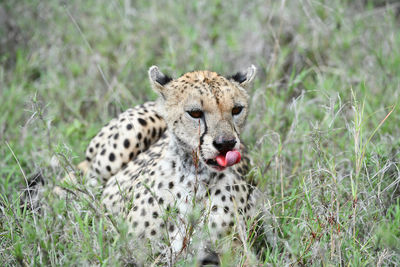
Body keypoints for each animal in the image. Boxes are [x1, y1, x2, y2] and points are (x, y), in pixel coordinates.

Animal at [76, 65, 256, 266]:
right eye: (195, 113)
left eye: (236, 109)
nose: (226, 143)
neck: (195, 177)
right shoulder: (133, 252)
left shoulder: (236, 252)